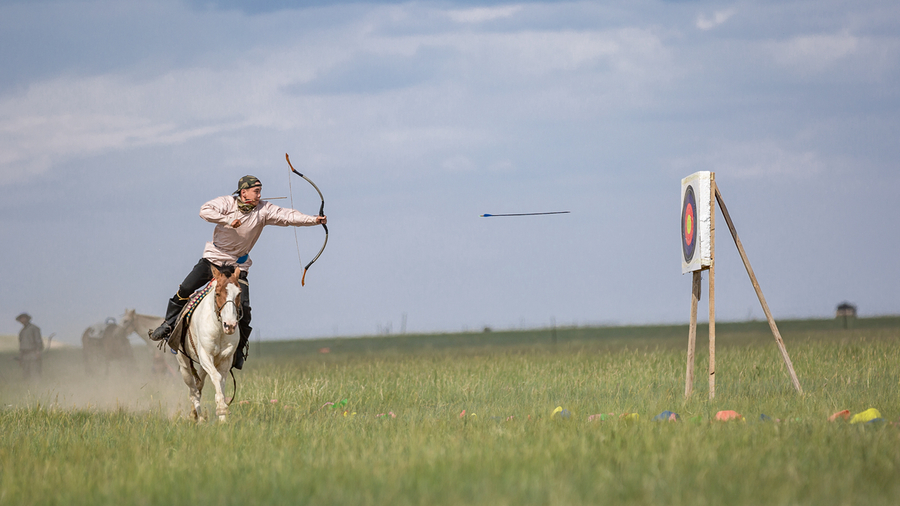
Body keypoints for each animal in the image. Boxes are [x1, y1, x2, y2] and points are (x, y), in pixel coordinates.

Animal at [177, 264, 243, 422]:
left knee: (199, 384)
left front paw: (223, 418)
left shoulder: (225, 359)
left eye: (239, 293)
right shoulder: (205, 355)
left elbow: (221, 382)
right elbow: (217, 377)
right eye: (218, 294)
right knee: (193, 390)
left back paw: (195, 415)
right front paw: (221, 409)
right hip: (184, 364)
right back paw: (198, 417)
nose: (230, 325)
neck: (219, 329)